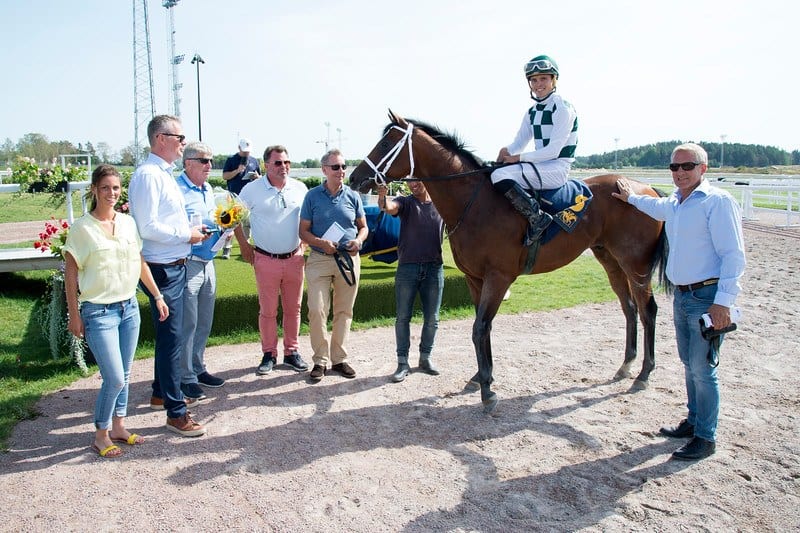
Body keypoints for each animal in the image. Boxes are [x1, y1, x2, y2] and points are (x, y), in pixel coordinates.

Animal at [350, 111, 668, 412]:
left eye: (386, 143)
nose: (354, 178)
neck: (475, 204)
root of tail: (648, 189)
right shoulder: (474, 278)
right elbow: (482, 327)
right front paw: (481, 378)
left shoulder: (499, 277)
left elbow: (480, 327)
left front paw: (487, 392)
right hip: (610, 260)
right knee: (629, 309)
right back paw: (626, 366)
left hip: (636, 264)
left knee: (647, 310)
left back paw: (644, 374)